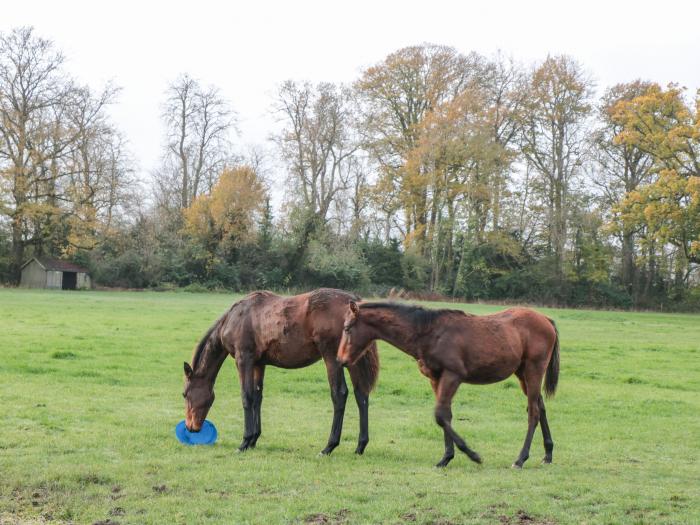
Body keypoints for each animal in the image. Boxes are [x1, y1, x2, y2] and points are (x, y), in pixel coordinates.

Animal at [180, 288, 378, 452]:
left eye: (185, 394)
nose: (191, 427)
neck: (234, 318)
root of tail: (353, 303)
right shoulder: (258, 364)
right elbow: (257, 397)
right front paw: (253, 439)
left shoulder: (243, 360)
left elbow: (246, 397)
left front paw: (244, 442)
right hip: (352, 360)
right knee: (361, 395)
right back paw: (360, 446)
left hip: (331, 359)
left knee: (339, 394)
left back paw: (329, 446)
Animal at [336, 300, 560, 468]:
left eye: (347, 328)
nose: (340, 360)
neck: (428, 333)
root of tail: (546, 320)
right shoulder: (436, 378)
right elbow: (446, 416)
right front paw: (446, 458)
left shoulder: (453, 375)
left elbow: (440, 415)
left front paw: (472, 455)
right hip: (522, 374)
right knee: (540, 406)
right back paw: (548, 454)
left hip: (533, 370)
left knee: (533, 412)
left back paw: (520, 459)